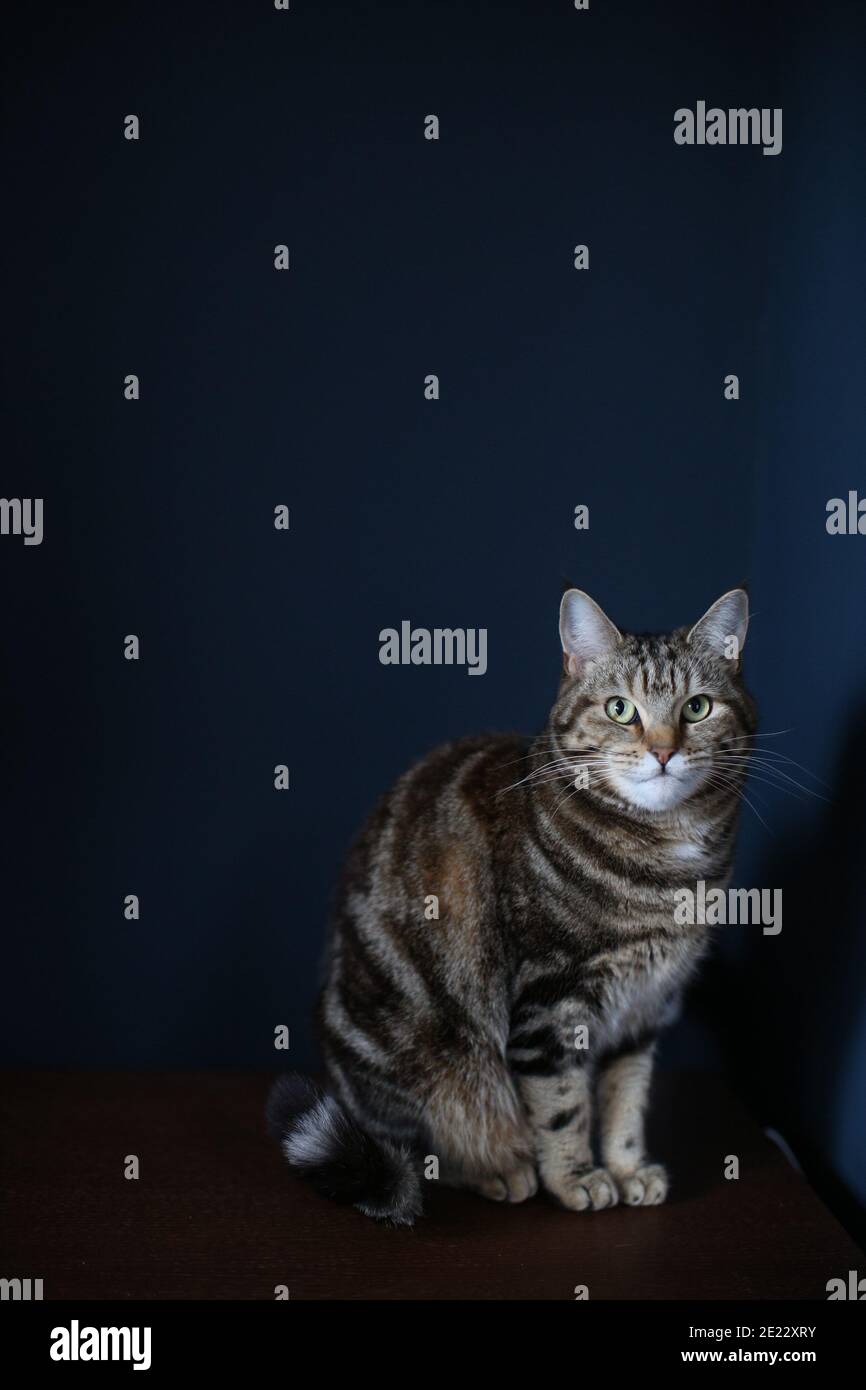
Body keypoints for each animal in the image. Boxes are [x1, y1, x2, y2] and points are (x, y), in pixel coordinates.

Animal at [268, 589, 756, 1228]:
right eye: (620, 709)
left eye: (697, 708)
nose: (663, 751)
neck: (666, 861)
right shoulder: (550, 1003)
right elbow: (562, 1107)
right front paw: (576, 1179)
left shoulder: (646, 1009)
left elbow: (626, 1100)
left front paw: (626, 1168)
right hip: (430, 1054)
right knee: (424, 1145)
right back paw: (495, 1169)